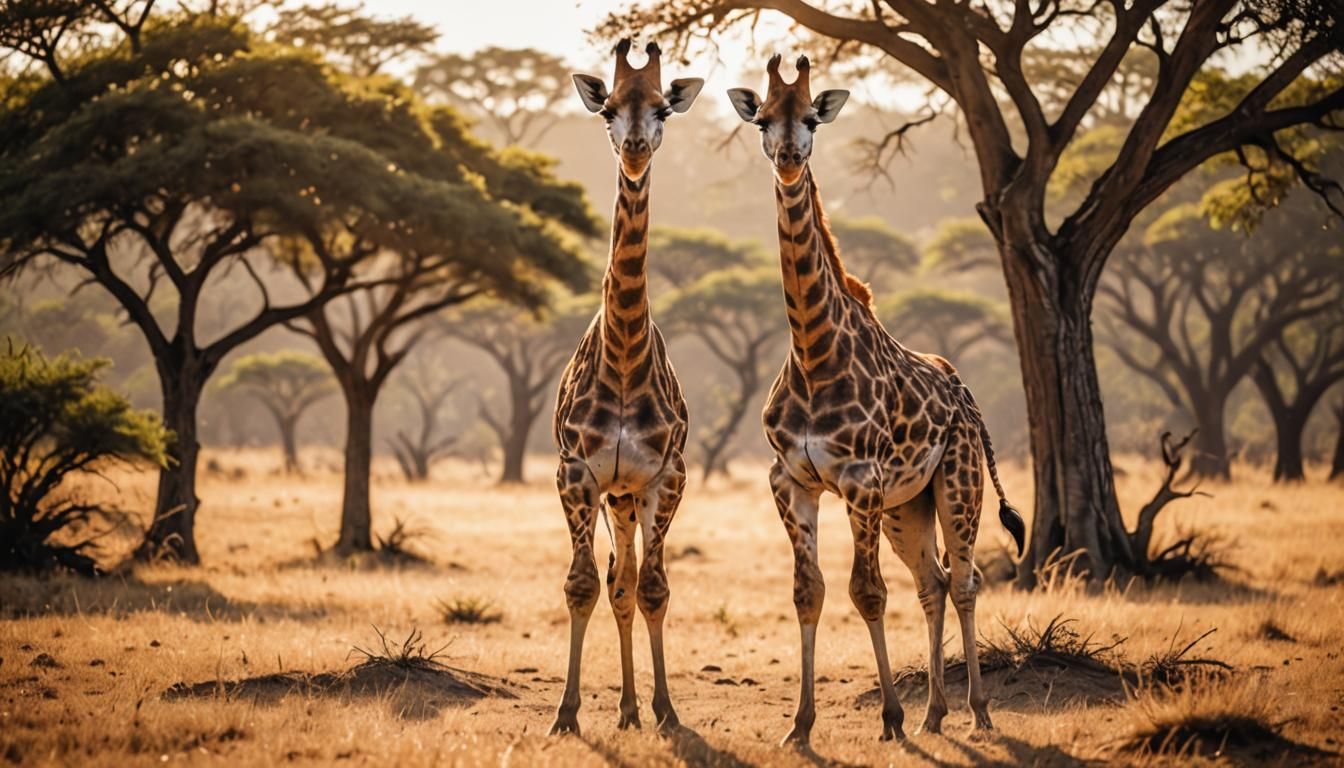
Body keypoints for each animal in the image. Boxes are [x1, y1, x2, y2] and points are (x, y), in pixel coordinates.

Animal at [727, 55, 1026, 747]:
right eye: (762, 118)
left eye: (812, 118)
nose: (788, 157)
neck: (813, 353)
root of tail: (965, 393)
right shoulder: (791, 480)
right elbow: (808, 593)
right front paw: (800, 726)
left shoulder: (860, 479)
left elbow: (866, 592)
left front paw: (890, 717)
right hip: (905, 505)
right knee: (932, 583)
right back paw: (935, 711)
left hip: (957, 484)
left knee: (964, 580)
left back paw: (976, 710)